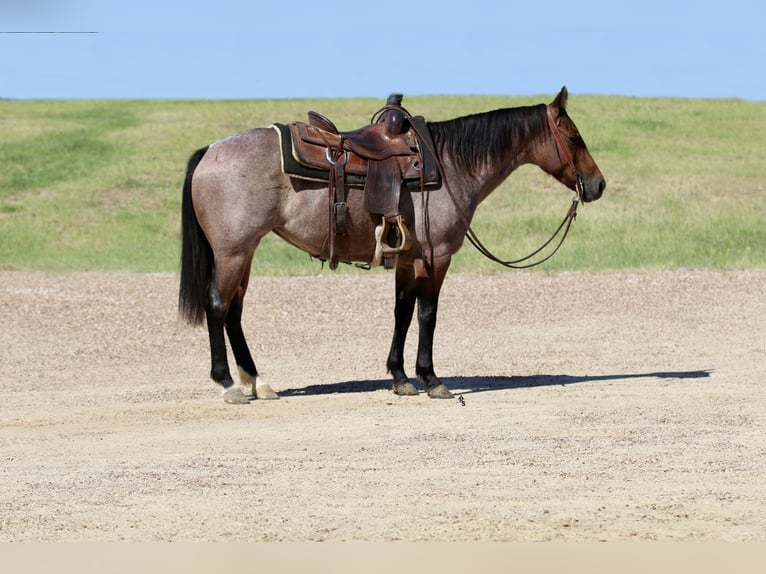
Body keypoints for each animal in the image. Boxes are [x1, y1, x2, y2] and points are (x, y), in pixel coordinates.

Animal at [178, 87, 605, 404]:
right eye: (573, 136)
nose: (598, 184)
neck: (449, 165)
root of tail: (209, 151)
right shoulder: (436, 257)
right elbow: (428, 314)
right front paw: (431, 379)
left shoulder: (406, 259)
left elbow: (402, 312)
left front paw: (400, 377)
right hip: (233, 252)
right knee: (217, 306)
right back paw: (228, 384)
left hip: (245, 253)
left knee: (234, 313)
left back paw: (257, 381)